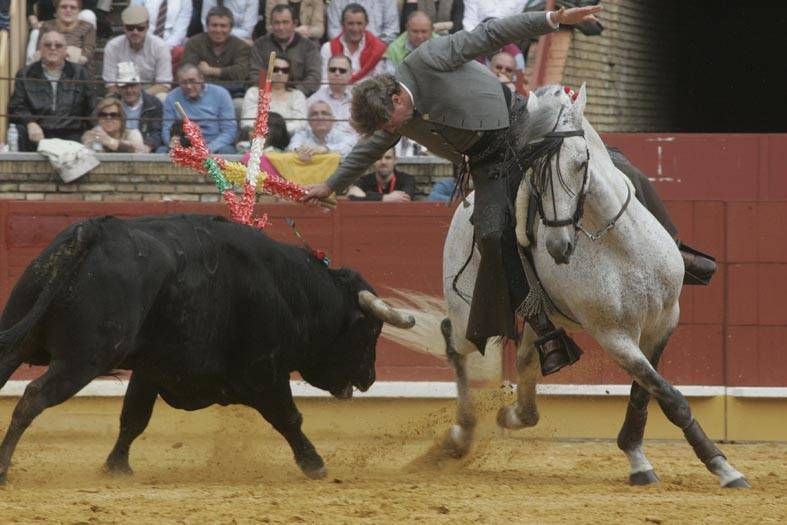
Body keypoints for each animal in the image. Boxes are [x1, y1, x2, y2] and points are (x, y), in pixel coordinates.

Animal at [0, 212, 416, 478]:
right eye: (370, 331)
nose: (371, 378)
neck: (289, 289)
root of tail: (95, 231)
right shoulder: (264, 372)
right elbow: (289, 417)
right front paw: (315, 464)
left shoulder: (151, 369)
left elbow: (133, 418)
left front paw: (116, 467)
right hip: (83, 359)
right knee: (33, 397)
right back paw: (4, 469)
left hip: (17, 336)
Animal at [440, 85, 748, 488]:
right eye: (533, 168)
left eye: (581, 162)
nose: (557, 246)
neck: (621, 244)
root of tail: (465, 207)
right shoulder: (613, 335)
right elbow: (668, 395)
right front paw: (718, 464)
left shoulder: (665, 321)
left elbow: (645, 391)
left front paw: (640, 456)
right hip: (468, 314)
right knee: (453, 341)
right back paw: (460, 434)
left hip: (541, 316)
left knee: (525, 358)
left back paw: (515, 414)